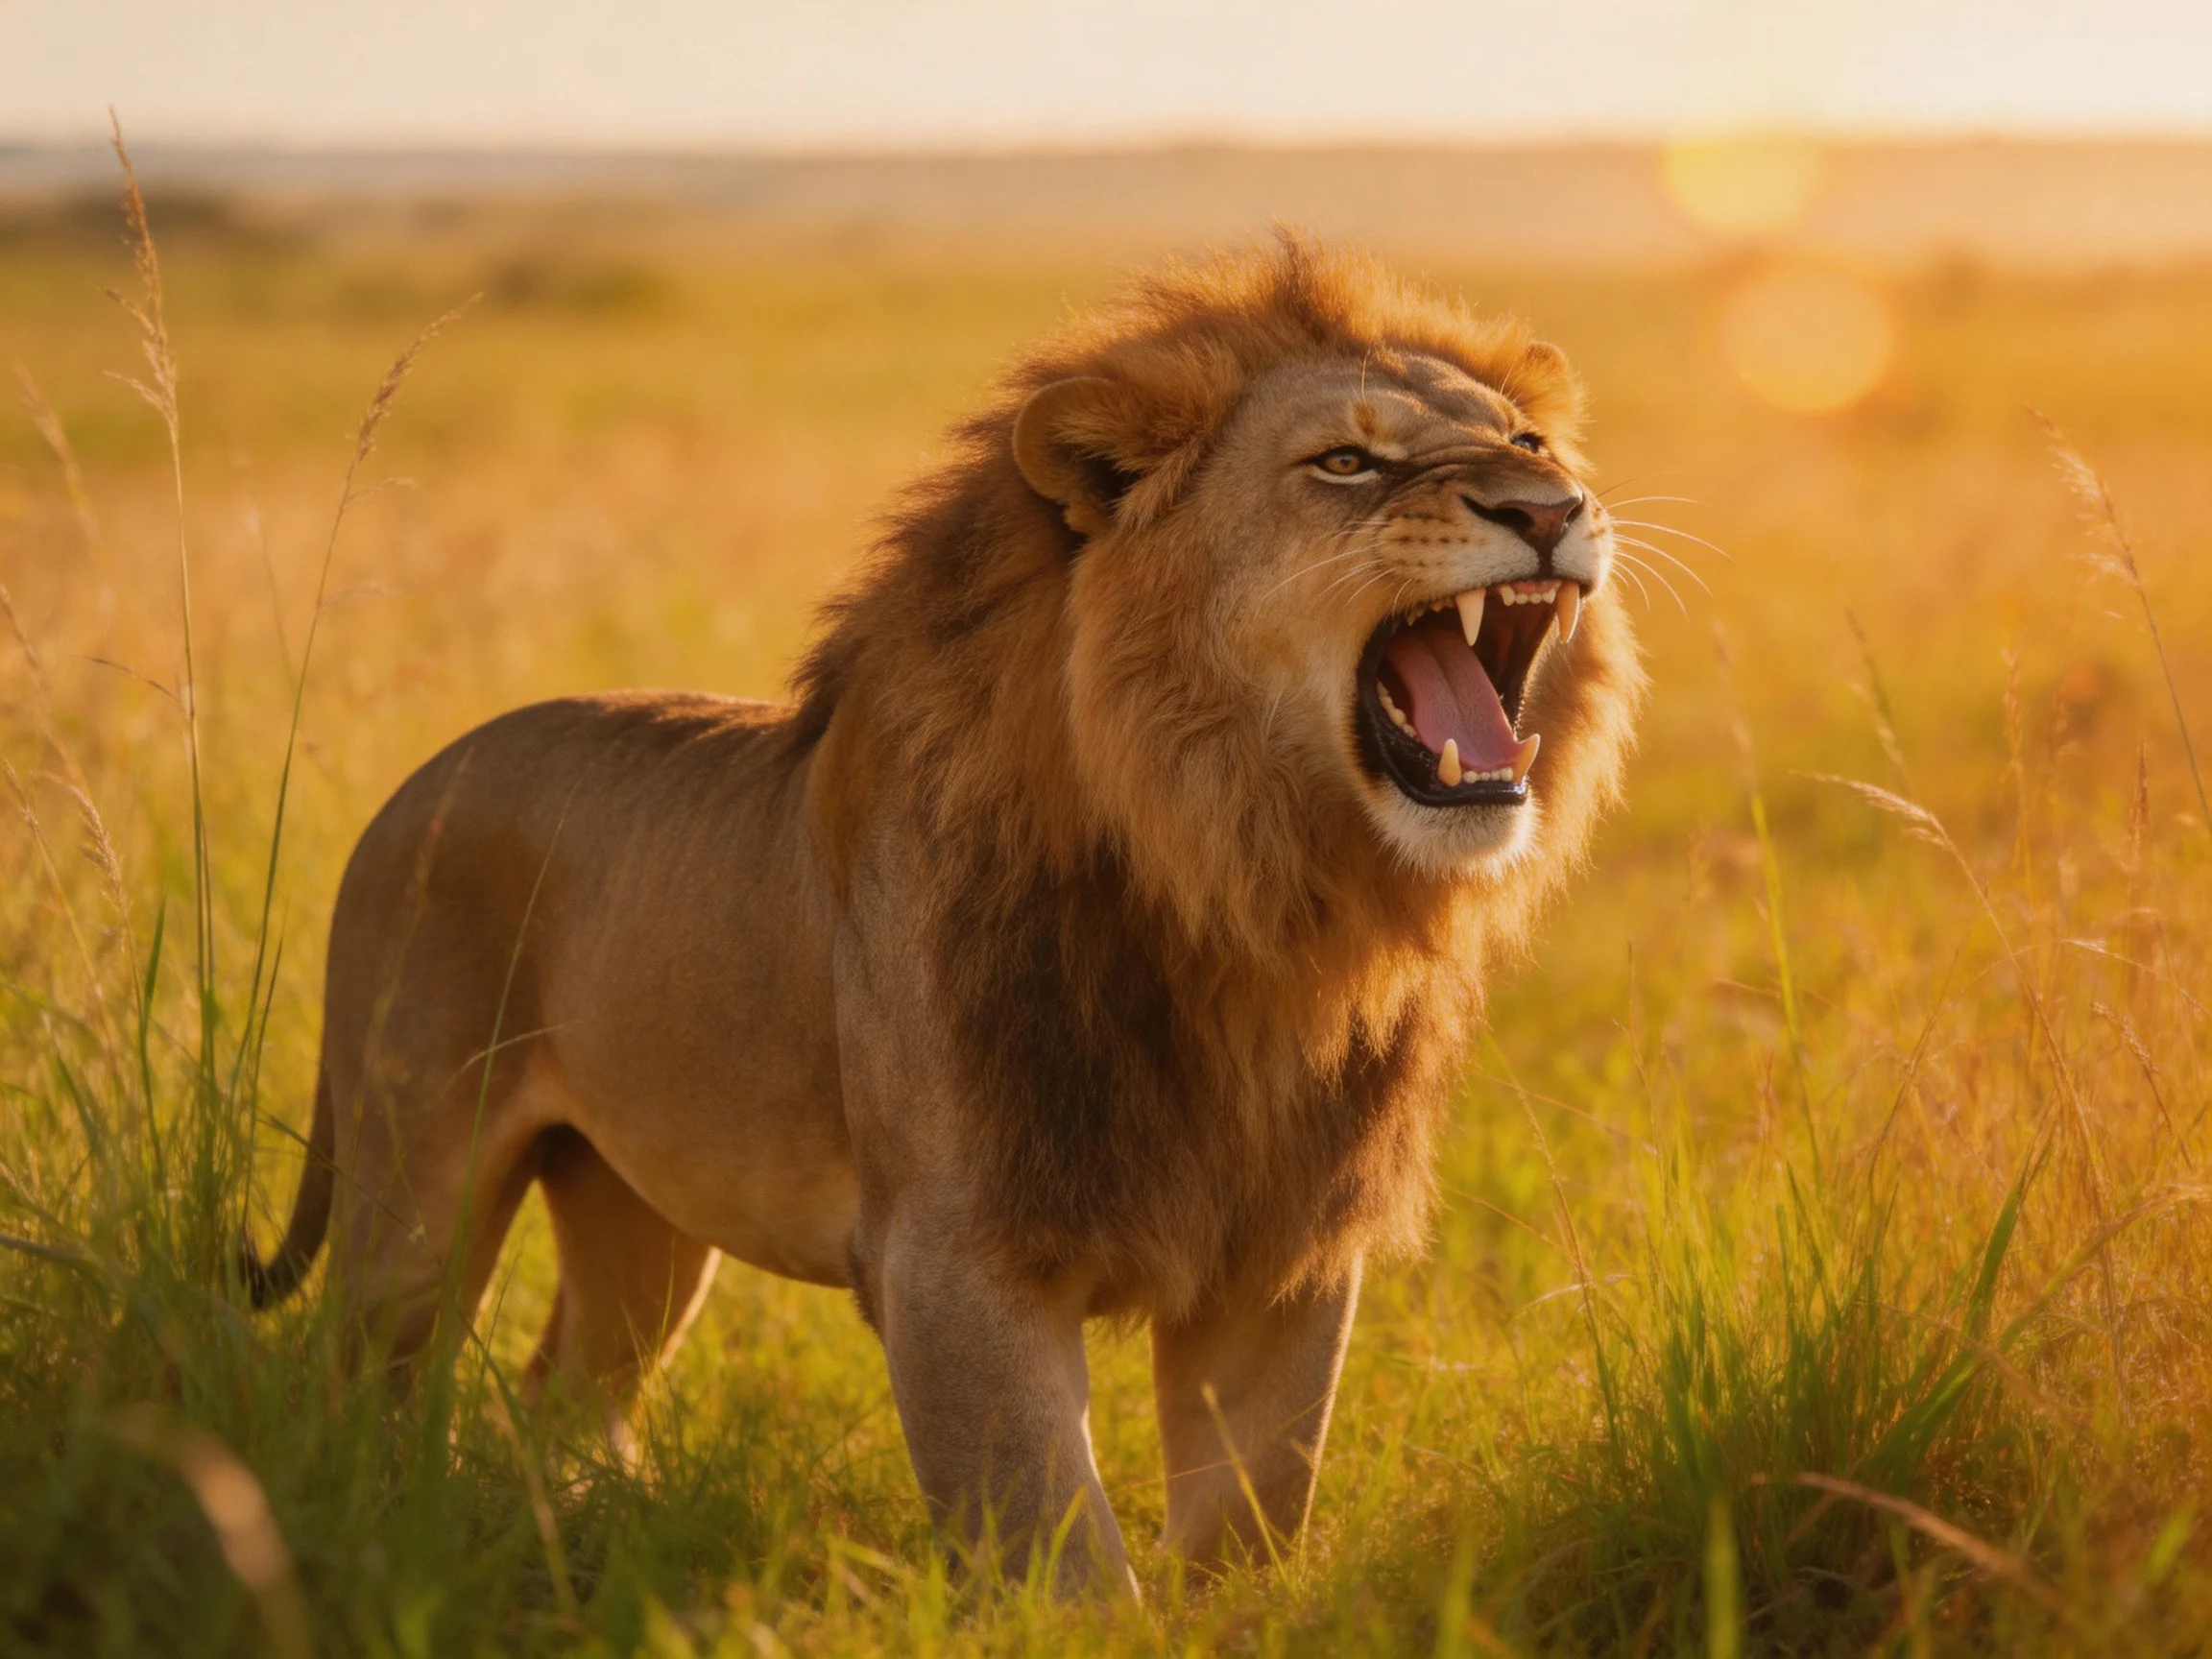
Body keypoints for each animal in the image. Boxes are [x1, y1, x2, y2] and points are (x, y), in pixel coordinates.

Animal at [244, 238, 1643, 1594]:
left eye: (1530, 444)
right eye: (1346, 462)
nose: (1550, 510)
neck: (1243, 895)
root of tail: (416, 782)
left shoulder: (1283, 1260)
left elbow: (1247, 1528)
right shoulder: (955, 1259)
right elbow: (1058, 1561)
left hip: (638, 1213)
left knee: (564, 1394)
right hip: (413, 1190)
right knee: (355, 1379)